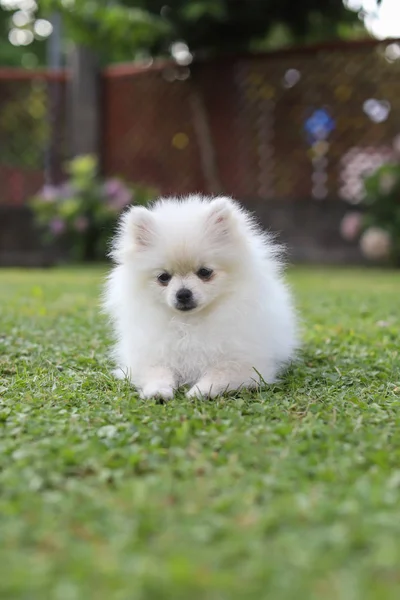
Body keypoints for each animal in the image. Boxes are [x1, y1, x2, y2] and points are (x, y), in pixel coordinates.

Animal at [103, 196, 296, 398]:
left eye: (205, 272)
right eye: (163, 277)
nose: (183, 293)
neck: (190, 323)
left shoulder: (247, 364)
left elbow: (219, 374)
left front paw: (200, 391)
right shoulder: (148, 358)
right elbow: (158, 371)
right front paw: (158, 391)